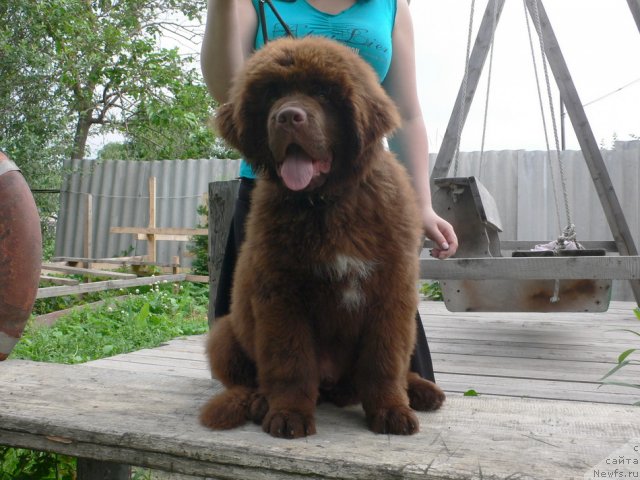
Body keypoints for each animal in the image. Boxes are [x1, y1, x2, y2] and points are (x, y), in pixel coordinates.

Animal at [200, 35, 444, 436]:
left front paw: (391, 410)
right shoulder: (281, 291)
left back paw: (421, 390)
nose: (288, 116)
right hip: (224, 334)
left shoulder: (391, 289)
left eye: (322, 92)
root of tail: (335, 387)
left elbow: (384, 360)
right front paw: (289, 415)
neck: (327, 203)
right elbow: (291, 361)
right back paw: (259, 401)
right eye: (271, 93)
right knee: (250, 379)